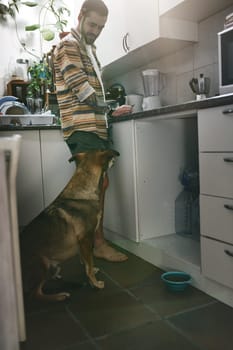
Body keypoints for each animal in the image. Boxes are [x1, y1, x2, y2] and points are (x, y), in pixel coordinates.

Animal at [19, 149, 120, 302]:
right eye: (104, 152)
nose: (116, 155)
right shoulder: (85, 238)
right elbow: (89, 264)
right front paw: (95, 283)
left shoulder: (82, 242)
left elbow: (86, 261)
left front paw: (91, 271)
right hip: (42, 264)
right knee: (35, 295)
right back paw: (59, 296)